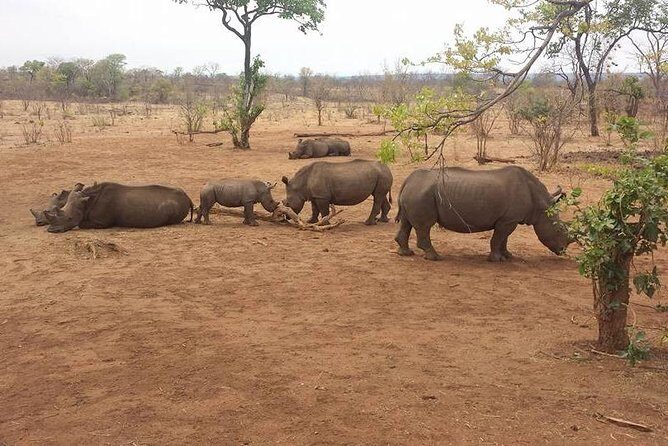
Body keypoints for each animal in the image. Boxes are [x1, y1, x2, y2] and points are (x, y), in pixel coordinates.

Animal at [44, 182, 194, 233]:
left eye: (69, 218)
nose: (52, 230)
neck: (86, 202)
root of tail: (188, 197)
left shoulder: (101, 222)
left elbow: (81, 224)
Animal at [394, 166, 572, 261]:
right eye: (559, 230)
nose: (562, 250)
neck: (541, 206)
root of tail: (408, 180)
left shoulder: (508, 219)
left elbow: (504, 239)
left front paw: (508, 256)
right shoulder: (508, 220)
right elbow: (498, 239)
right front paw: (496, 259)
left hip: (417, 192)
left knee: (406, 222)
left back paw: (406, 253)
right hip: (422, 194)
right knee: (425, 226)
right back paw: (435, 257)